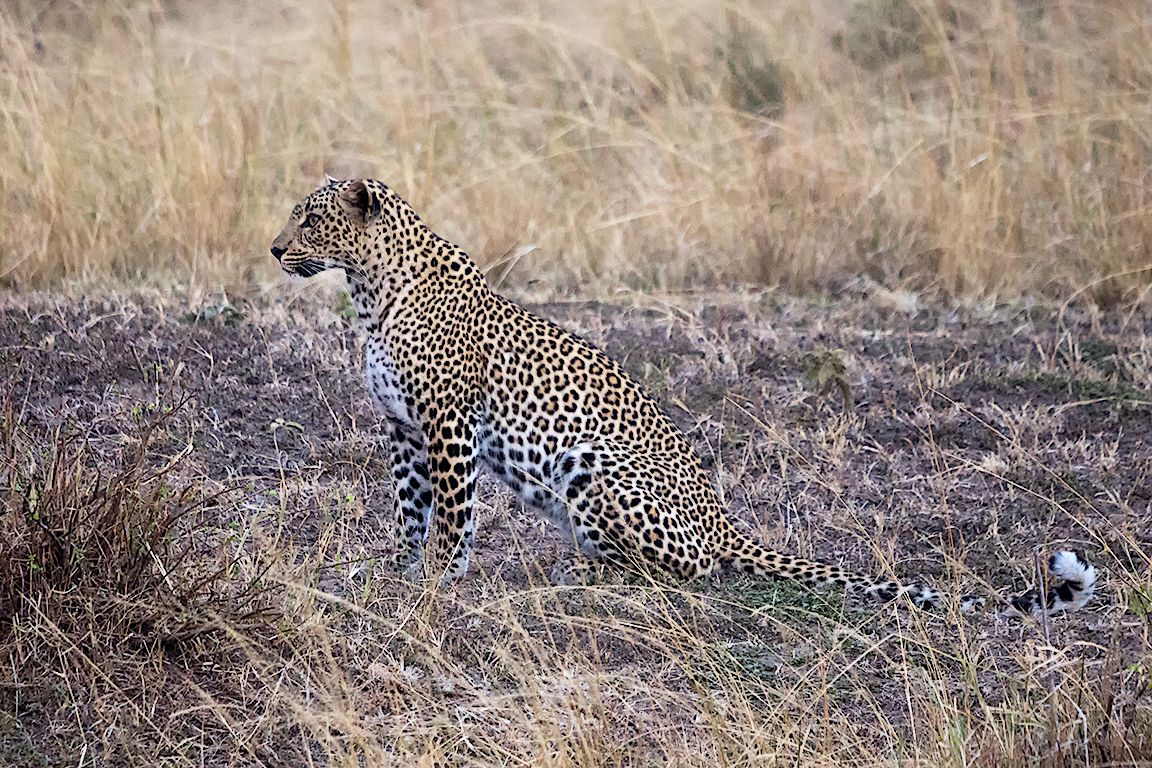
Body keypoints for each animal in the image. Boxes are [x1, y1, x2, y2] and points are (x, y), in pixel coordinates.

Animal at [270, 177, 1096, 618]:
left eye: (309, 217)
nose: (274, 248)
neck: (368, 290)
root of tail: (724, 522)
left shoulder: (446, 424)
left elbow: (451, 513)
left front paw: (441, 579)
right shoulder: (402, 430)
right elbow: (409, 510)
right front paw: (398, 572)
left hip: (594, 468)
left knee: (683, 573)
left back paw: (580, 575)